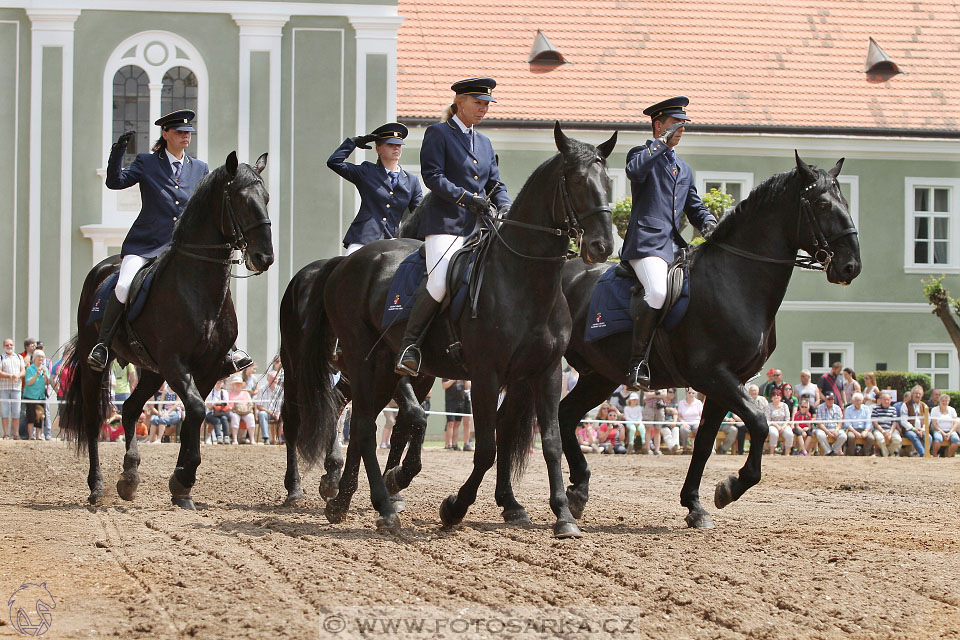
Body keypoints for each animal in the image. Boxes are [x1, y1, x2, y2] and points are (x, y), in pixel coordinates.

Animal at [61, 152, 274, 508]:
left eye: (266, 199)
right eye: (240, 200)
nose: (264, 257)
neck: (198, 288)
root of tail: (103, 268)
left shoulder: (206, 369)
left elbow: (193, 416)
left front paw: (182, 488)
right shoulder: (176, 364)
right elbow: (197, 411)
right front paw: (183, 479)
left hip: (150, 370)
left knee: (131, 409)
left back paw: (129, 477)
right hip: (99, 366)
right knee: (93, 421)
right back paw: (97, 486)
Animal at [292, 124, 620, 536]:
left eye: (608, 182)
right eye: (575, 180)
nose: (601, 245)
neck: (523, 280)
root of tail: (347, 262)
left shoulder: (544, 373)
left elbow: (550, 443)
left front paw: (562, 514)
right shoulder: (485, 375)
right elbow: (486, 448)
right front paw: (454, 508)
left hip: (384, 368)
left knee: (364, 423)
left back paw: (346, 501)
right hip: (364, 361)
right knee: (363, 425)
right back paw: (380, 504)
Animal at [556, 152, 864, 528]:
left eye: (845, 201)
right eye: (821, 204)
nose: (850, 267)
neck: (736, 280)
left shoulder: (726, 382)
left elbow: (704, 443)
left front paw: (695, 505)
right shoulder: (711, 374)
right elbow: (759, 422)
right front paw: (731, 487)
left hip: (599, 376)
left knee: (565, 415)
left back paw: (578, 490)